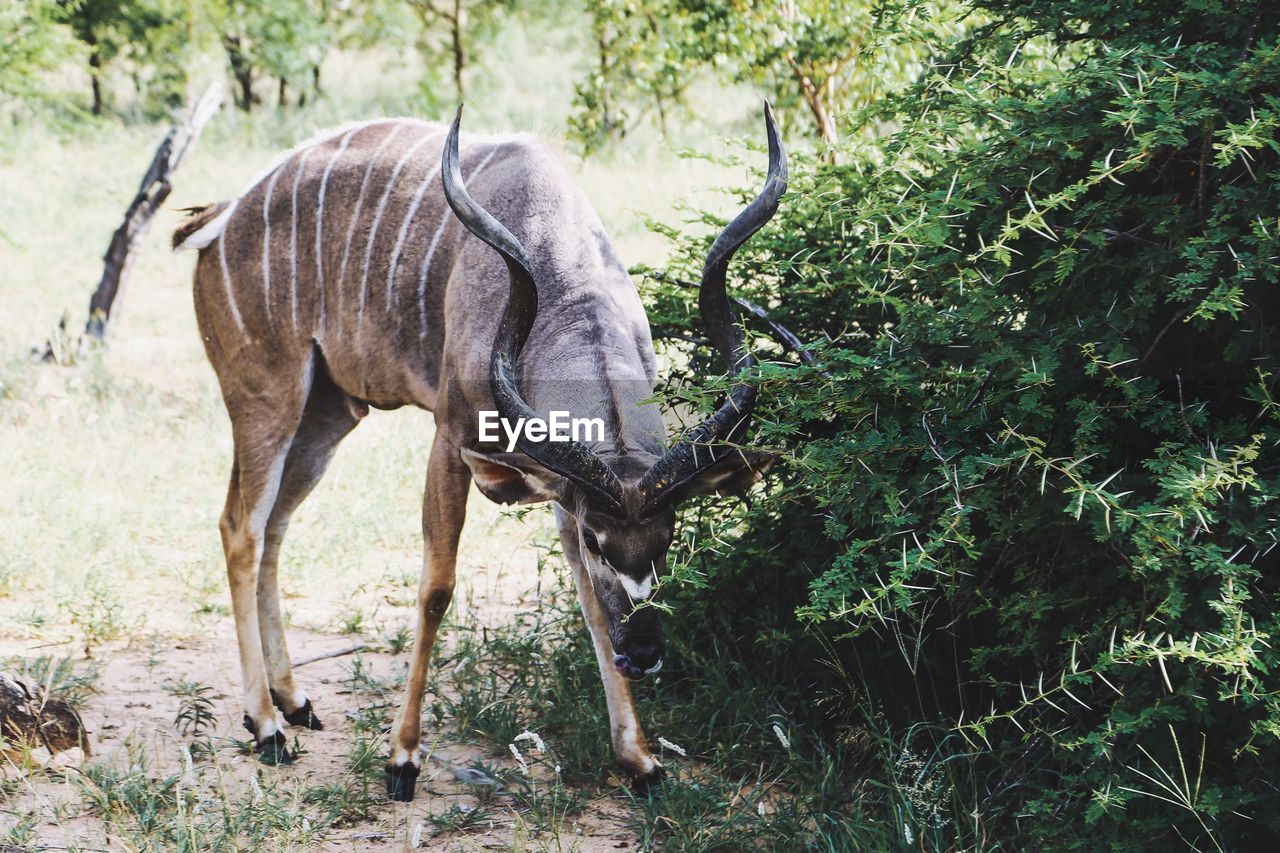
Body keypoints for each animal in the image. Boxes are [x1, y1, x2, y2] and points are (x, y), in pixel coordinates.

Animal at [175, 104, 783, 799]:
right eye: (601, 540)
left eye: (669, 536)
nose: (645, 650)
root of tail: (219, 218)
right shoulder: (452, 440)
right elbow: (437, 588)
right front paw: (403, 759)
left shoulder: (559, 487)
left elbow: (586, 599)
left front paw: (640, 760)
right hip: (266, 396)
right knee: (241, 527)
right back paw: (266, 725)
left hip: (328, 415)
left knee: (275, 526)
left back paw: (294, 701)